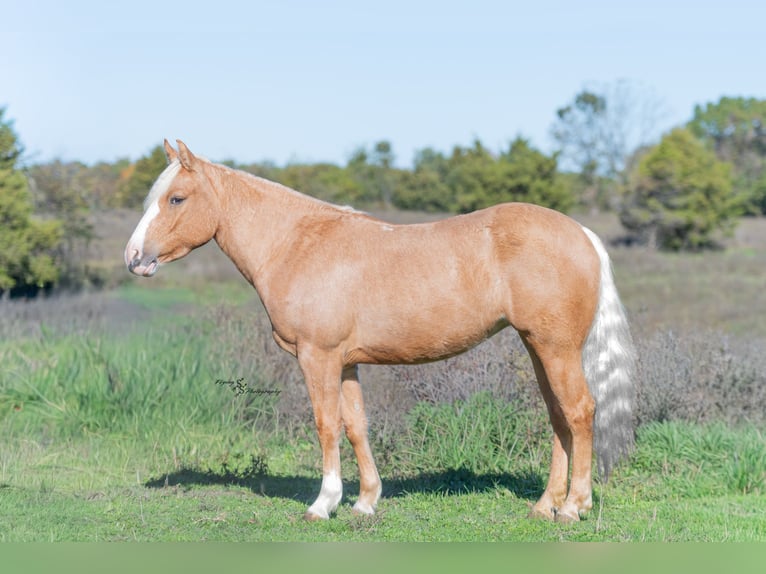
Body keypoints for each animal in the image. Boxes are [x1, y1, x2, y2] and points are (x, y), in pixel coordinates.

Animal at [125, 140, 636, 523]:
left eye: (176, 198)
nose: (133, 258)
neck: (297, 244)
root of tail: (582, 234)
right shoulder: (346, 362)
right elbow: (356, 426)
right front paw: (365, 502)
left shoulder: (318, 357)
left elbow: (326, 424)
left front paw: (323, 504)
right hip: (539, 347)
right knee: (559, 417)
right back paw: (546, 505)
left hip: (557, 348)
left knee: (580, 411)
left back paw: (574, 507)